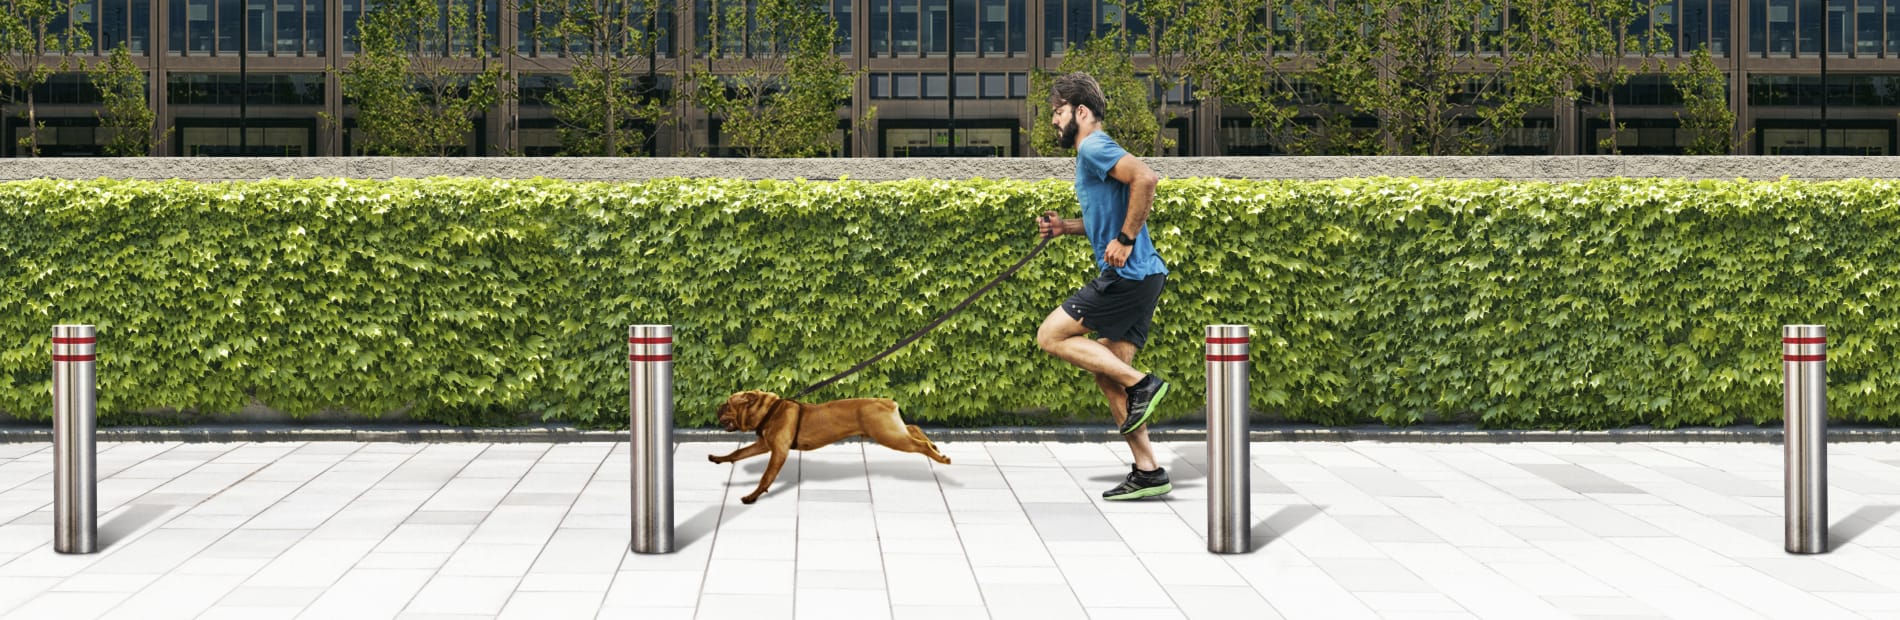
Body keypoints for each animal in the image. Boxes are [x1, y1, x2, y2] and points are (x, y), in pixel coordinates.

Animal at [710, 391, 950, 502]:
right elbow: (739, 452)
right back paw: (934, 446)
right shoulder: (763, 444)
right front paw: (719, 459)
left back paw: (939, 457)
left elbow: (766, 476)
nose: (717, 407)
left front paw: (752, 496)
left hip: (889, 435)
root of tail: (887, 402)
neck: (769, 411)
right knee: (914, 428)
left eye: (728, 405)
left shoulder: (778, 451)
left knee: (918, 443)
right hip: (892, 431)